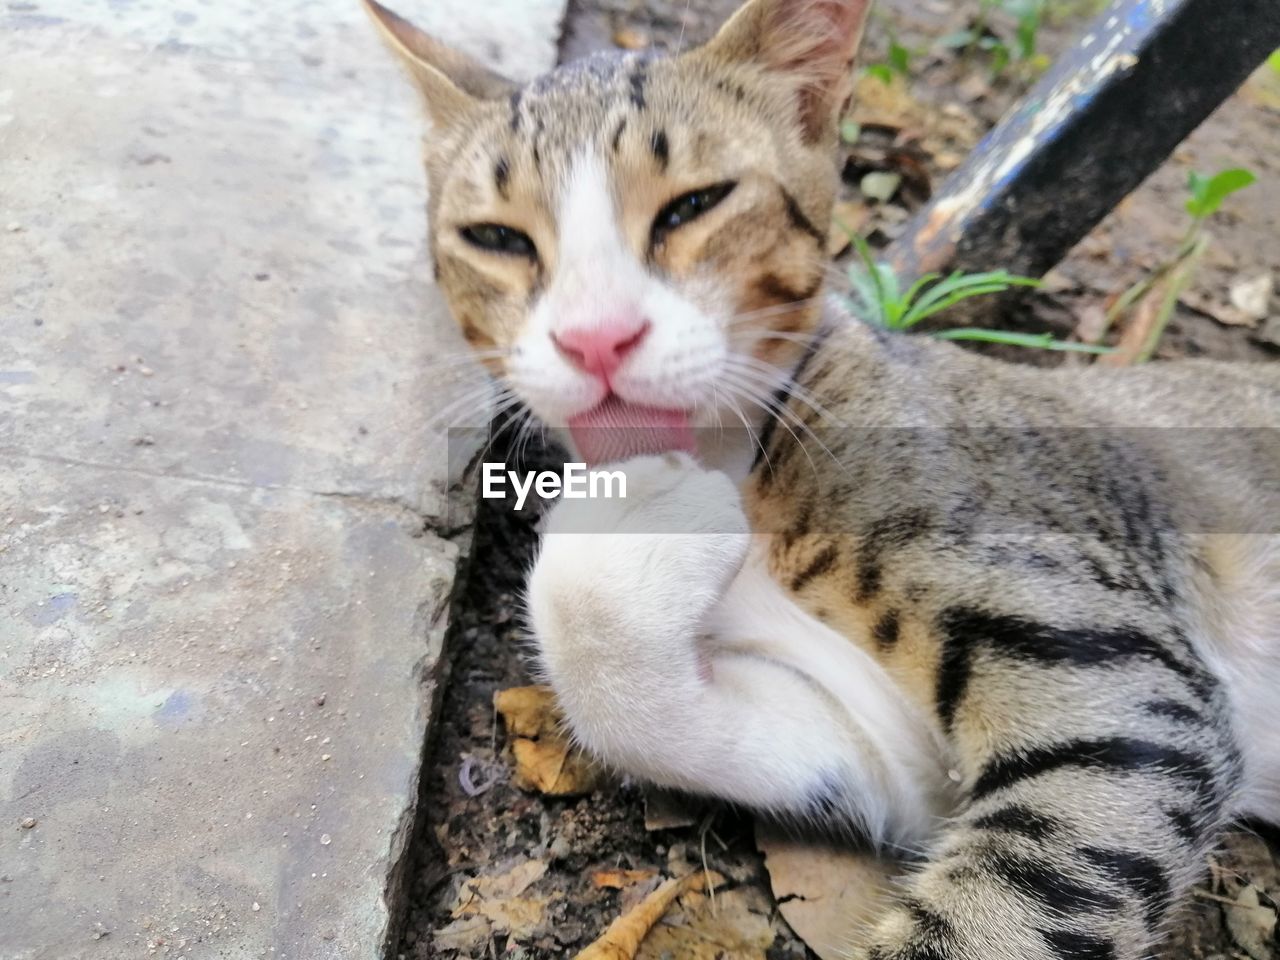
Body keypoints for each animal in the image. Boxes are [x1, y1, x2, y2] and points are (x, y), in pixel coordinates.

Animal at [366, 3, 1280, 957]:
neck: (737, 451)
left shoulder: (1120, 687)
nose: (596, 338)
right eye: (495, 238)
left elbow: (1037, 879)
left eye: (696, 204)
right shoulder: (891, 758)